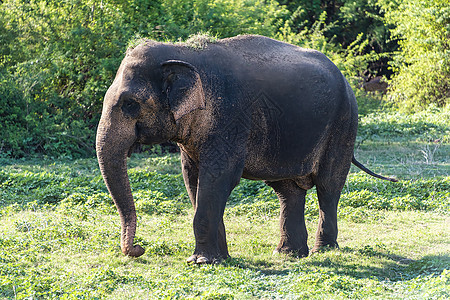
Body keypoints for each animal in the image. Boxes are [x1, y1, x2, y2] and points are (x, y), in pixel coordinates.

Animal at [96, 35, 398, 264]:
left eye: (130, 104)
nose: (138, 249)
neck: (183, 52)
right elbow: (193, 179)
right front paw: (220, 259)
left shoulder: (231, 118)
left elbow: (218, 177)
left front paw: (202, 262)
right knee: (288, 191)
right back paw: (288, 254)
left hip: (344, 123)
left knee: (328, 186)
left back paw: (322, 251)